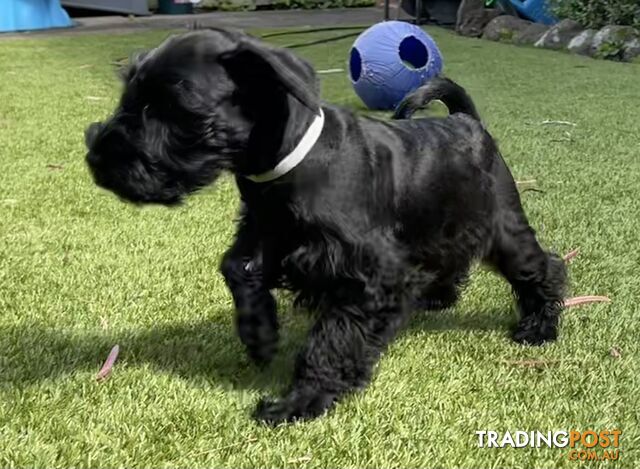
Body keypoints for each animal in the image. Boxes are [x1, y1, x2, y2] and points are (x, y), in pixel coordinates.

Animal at [84, 28, 564, 424]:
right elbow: (237, 268)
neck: (292, 161)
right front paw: (259, 334)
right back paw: (436, 297)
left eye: (174, 107)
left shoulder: (367, 277)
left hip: (505, 227)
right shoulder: (264, 232)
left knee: (545, 268)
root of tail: (469, 122)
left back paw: (539, 327)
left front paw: (301, 400)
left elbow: (332, 341)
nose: (96, 159)